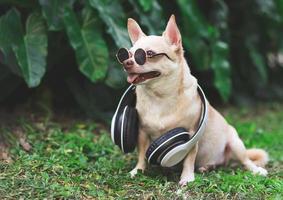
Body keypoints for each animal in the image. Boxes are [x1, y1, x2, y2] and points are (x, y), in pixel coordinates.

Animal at [119, 14, 268, 186]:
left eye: (148, 53)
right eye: (127, 54)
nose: (126, 62)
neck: (160, 96)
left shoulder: (191, 134)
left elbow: (189, 158)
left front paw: (187, 177)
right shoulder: (142, 133)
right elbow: (142, 154)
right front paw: (138, 170)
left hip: (236, 143)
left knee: (246, 161)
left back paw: (256, 170)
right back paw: (207, 167)